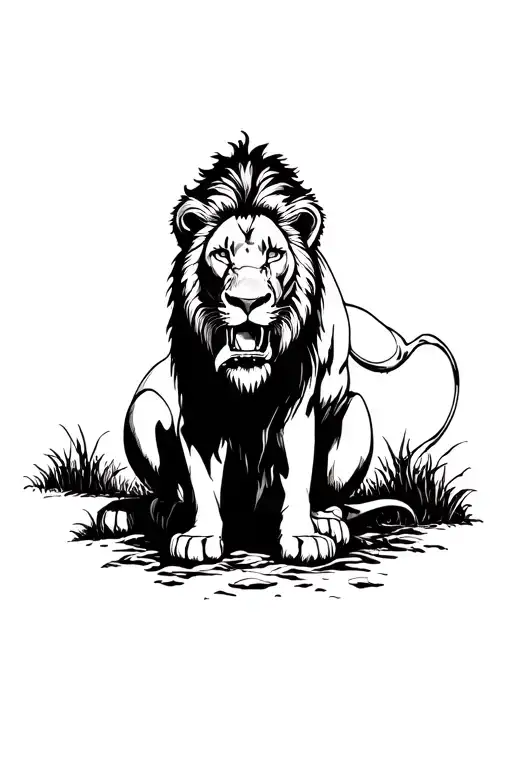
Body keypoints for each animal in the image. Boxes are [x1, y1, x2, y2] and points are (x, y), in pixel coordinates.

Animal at [100, 134, 459, 563]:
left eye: (273, 254)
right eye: (221, 254)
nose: (247, 301)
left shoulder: (298, 405)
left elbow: (298, 474)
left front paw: (304, 538)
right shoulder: (199, 407)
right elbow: (201, 479)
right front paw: (199, 536)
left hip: (356, 412)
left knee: (331, 497)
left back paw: (328, 521)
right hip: (146, 406)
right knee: (172, 489)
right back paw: (146, 512)